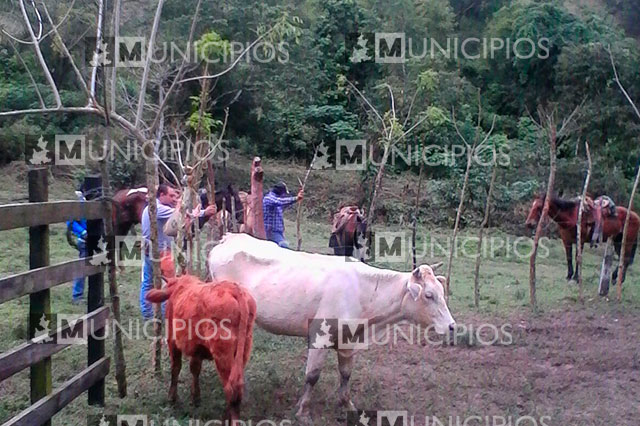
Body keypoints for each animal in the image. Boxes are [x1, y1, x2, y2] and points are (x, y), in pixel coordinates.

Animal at [206, 233, 456, 422]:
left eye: (442, 292)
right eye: (429, 295)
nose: (452, 326)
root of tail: (229, 238)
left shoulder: (348, 340)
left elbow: (345, 374)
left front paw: (348, 405)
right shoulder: (320, 335)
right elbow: (312, 375)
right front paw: (303, 411)